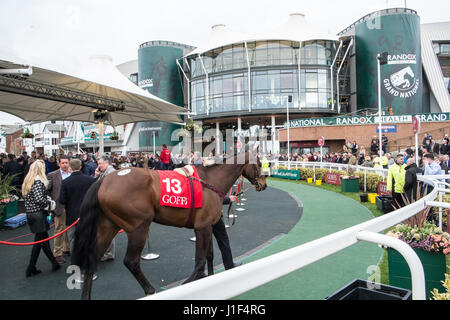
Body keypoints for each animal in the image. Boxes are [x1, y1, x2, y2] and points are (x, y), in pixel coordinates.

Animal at [71, 151, 266, 298]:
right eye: (259, 163)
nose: (264, 184)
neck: (211, 181)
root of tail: (104, 181)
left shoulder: (209, 225)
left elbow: (210, 256)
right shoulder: (202, 227)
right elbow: (201, 260)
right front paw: (189, 283)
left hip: (108, 226)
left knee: (92, 258)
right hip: (139, 226)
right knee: (131, 261)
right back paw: (150, 290)